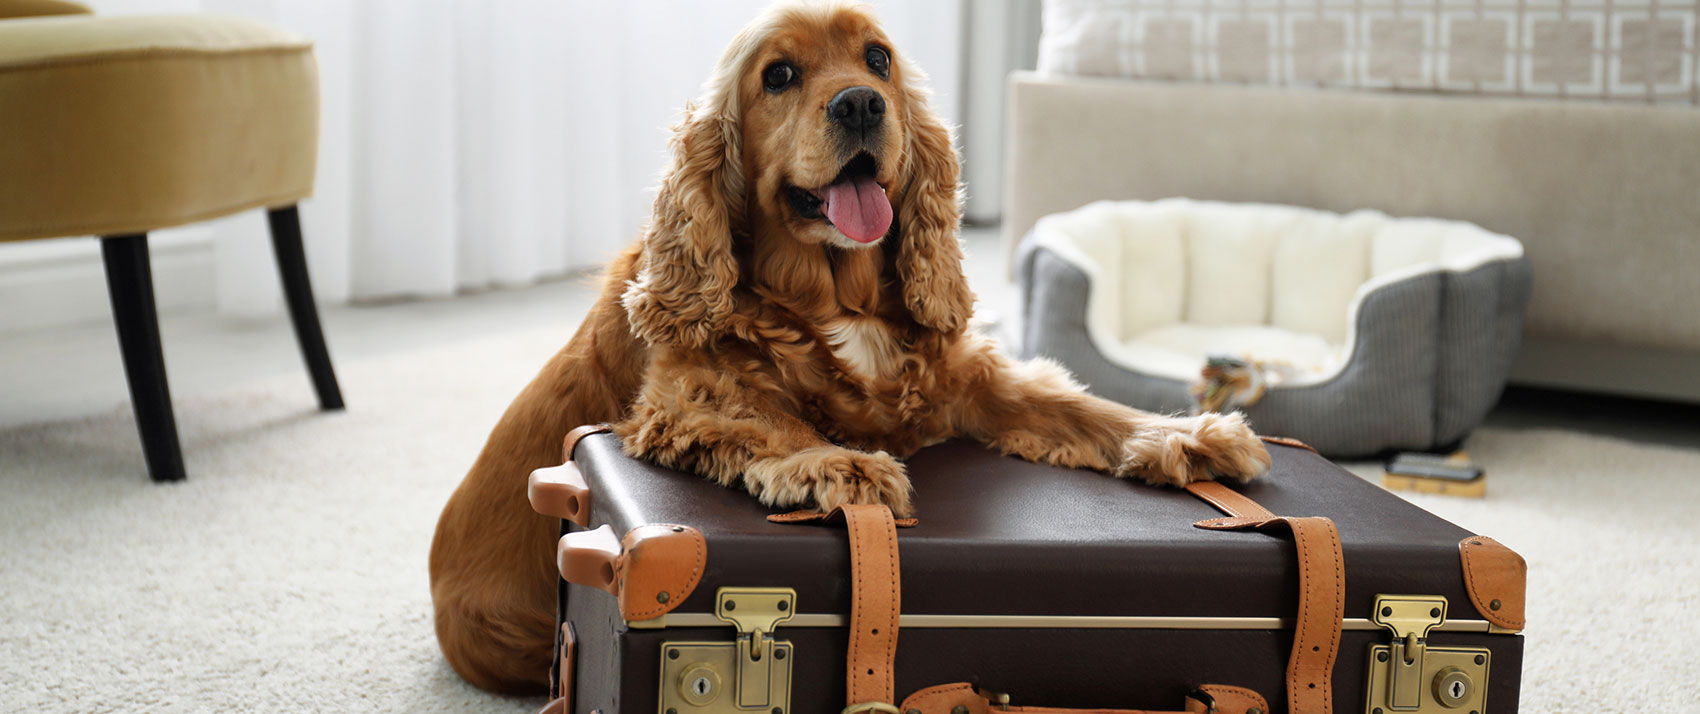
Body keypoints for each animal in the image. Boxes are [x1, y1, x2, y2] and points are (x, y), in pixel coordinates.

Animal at [431, 0, 1271, 690]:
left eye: (878, 61)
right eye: (779, 75)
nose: (862, 102)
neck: (837, 296)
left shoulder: (965, 379)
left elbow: (1080, 406)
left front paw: (1187, 434)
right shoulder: (685, 400)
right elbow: (774, 421)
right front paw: (841, 465)